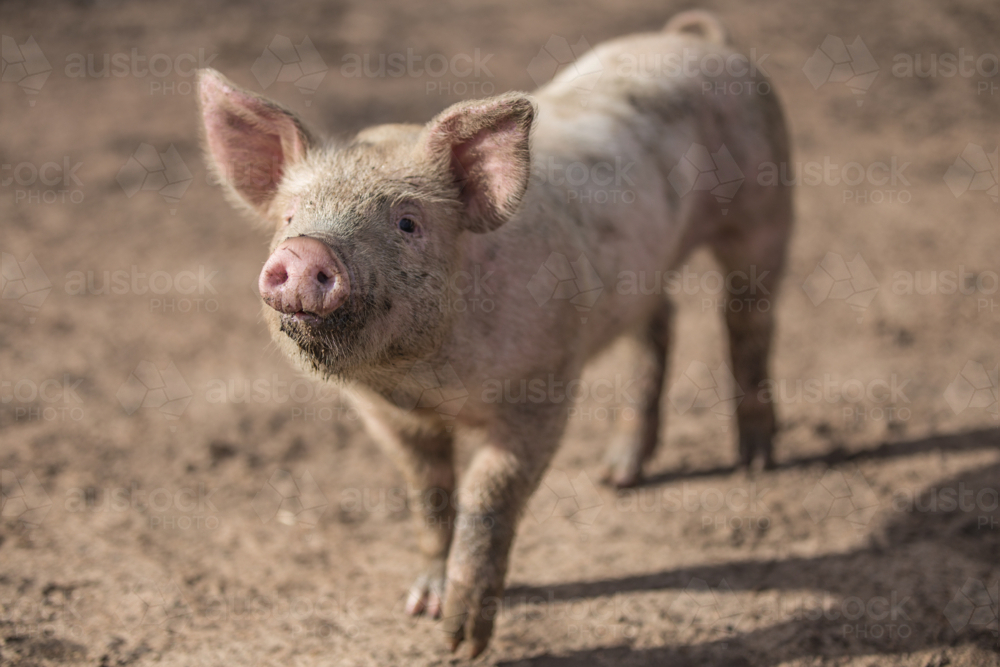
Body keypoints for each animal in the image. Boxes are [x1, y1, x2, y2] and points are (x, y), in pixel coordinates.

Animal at [198, 9, 792, 657]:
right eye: (289, 216)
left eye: (408, 222)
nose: (306, 250)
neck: (430, 381)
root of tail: (695, 38)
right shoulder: (385, 417)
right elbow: (430, 496)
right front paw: (421, 607)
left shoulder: (543, 386)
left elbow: (490, 499)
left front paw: (461, 645)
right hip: (645, 271)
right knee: (659, 327)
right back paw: (617, 475)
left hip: (766, 206)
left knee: (747, 320)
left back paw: (755, 462)